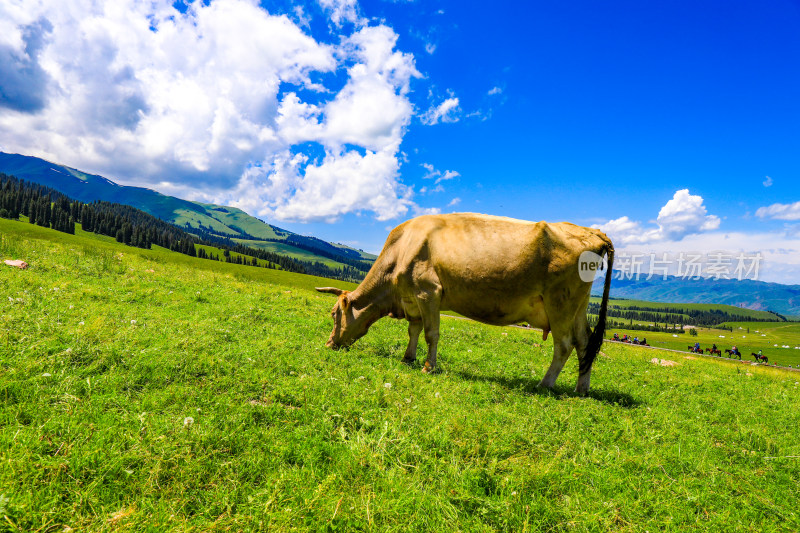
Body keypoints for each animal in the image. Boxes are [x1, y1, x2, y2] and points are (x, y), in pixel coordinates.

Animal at [316, 213, 616, 394]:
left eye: (333, 314)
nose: (329, 344)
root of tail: (593, 231)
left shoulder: (428, 292)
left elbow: (430, 333)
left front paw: (428, 367)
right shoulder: (412, 299)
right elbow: (413, 331)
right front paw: (408, 358)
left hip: (560, 302)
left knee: (564, 345)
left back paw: (544, 384)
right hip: (578, 305)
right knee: (585, 342)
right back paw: (581, 389)